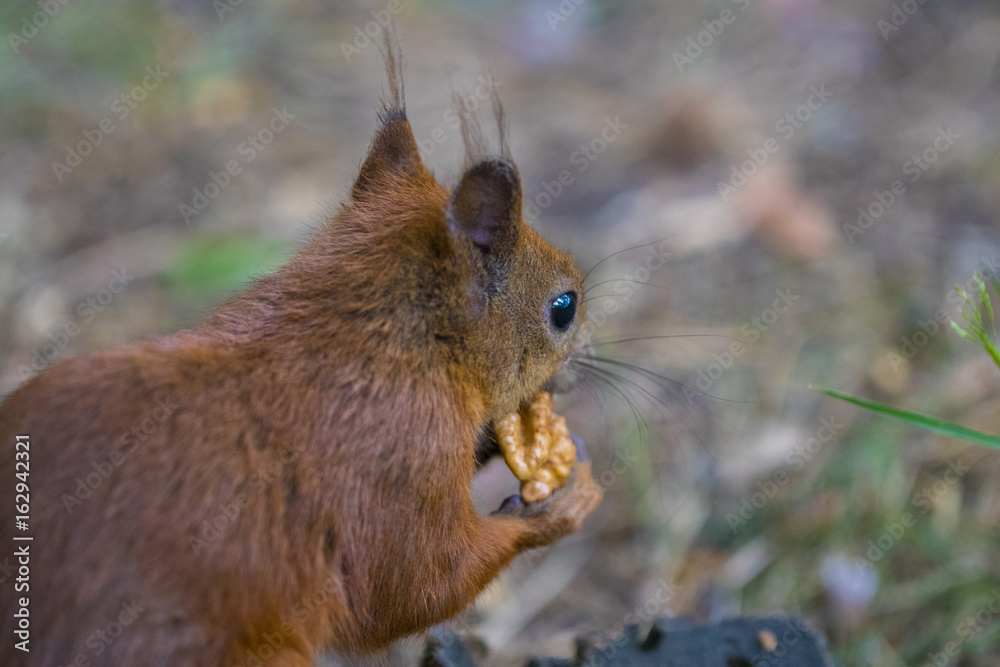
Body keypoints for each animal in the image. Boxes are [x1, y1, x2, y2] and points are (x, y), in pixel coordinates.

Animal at [0, 40, 602, 666]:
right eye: (563, 308)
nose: (589, 356)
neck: (385, 341)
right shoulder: (397, 466)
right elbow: (414, 587)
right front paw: (564, 502)